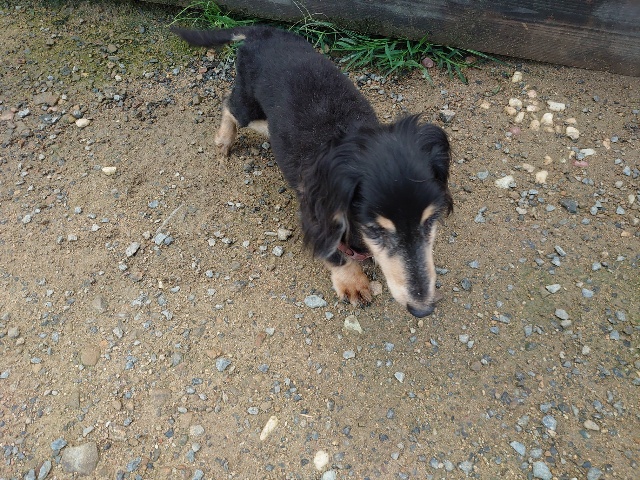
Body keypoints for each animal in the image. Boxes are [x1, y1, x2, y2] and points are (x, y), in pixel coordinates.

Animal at [172, 25, 453, 317]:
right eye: (375, 230)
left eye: (431, 221)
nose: (422, 309)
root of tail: (260, 31)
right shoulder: (315, 212)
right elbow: (335, 254)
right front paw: (352, 281)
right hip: (248, 108)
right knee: (230, 105)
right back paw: (225, 139)